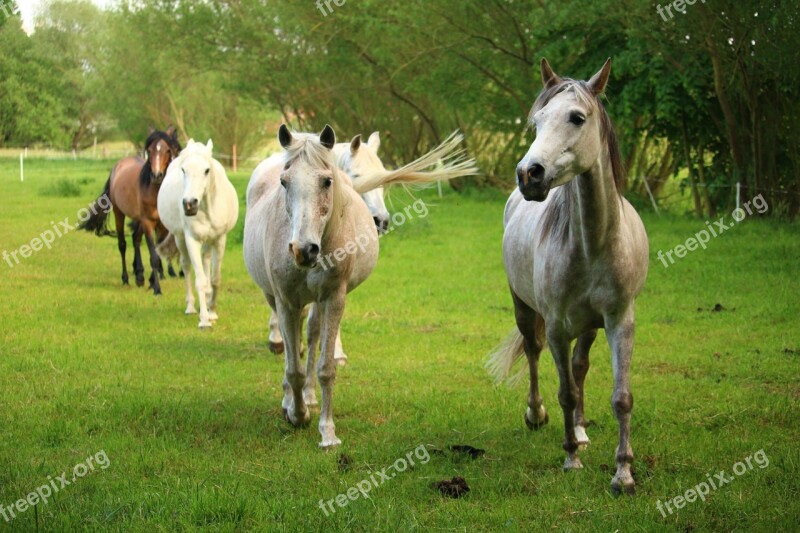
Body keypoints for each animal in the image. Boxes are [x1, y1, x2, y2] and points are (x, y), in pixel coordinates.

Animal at [79, 128, 183, 296]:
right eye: (149, 150)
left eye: (168, 150)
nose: (157, 176)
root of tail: (118, 166)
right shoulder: (148, 223)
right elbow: (154, 256)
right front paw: (157, 288)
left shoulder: (162, 225)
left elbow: (159, 251)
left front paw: (153, 281)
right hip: (119, 214)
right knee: (122, 244)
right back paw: (126, 278)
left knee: (136, 239)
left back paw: (139, 276)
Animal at [156, 139, 238, 326]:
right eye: (183, 170)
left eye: (206, 170)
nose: (189, 204)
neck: (207, 207)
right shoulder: (191, 239)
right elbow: (199, 280)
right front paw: (204, 320)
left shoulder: (220, 239)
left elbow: (215, 278)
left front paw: (212, 311)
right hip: (180, 239)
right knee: (186, 266)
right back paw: (191, 307)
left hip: (208, 241)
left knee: (206, 260)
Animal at [488, 59, 648, 494]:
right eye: (537, 121)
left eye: (577, 117)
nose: (529, 174)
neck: (593, 244)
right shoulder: (558, 327)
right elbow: (565, 393)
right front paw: (571, 459)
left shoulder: (620, 322)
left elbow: (621, 397)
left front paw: (623, 473)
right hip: (524, 309)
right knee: (533, 353)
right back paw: (537, 415)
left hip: (590, 326)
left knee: (580, 368)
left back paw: (580, 430)